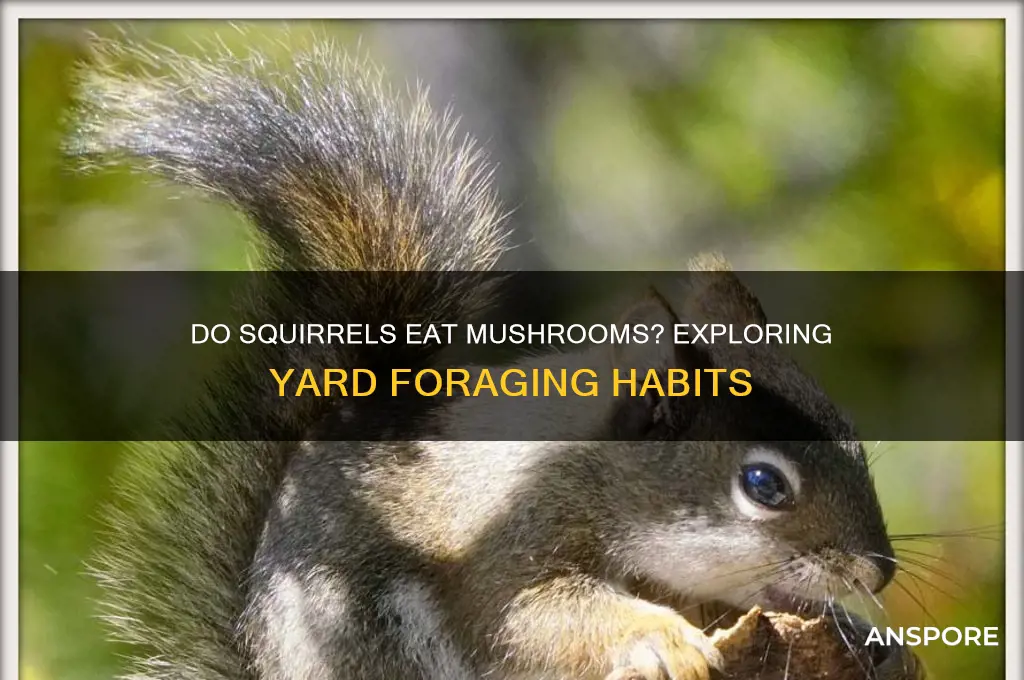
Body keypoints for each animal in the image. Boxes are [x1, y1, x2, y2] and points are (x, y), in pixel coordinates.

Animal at [67, 34, 898, 680]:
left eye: (853, 431)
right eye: (764, 484)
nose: (879, 571)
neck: (598, 480)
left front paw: (861, 633)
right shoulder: (512, 546)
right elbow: (537, 615)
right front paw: (664, 639)